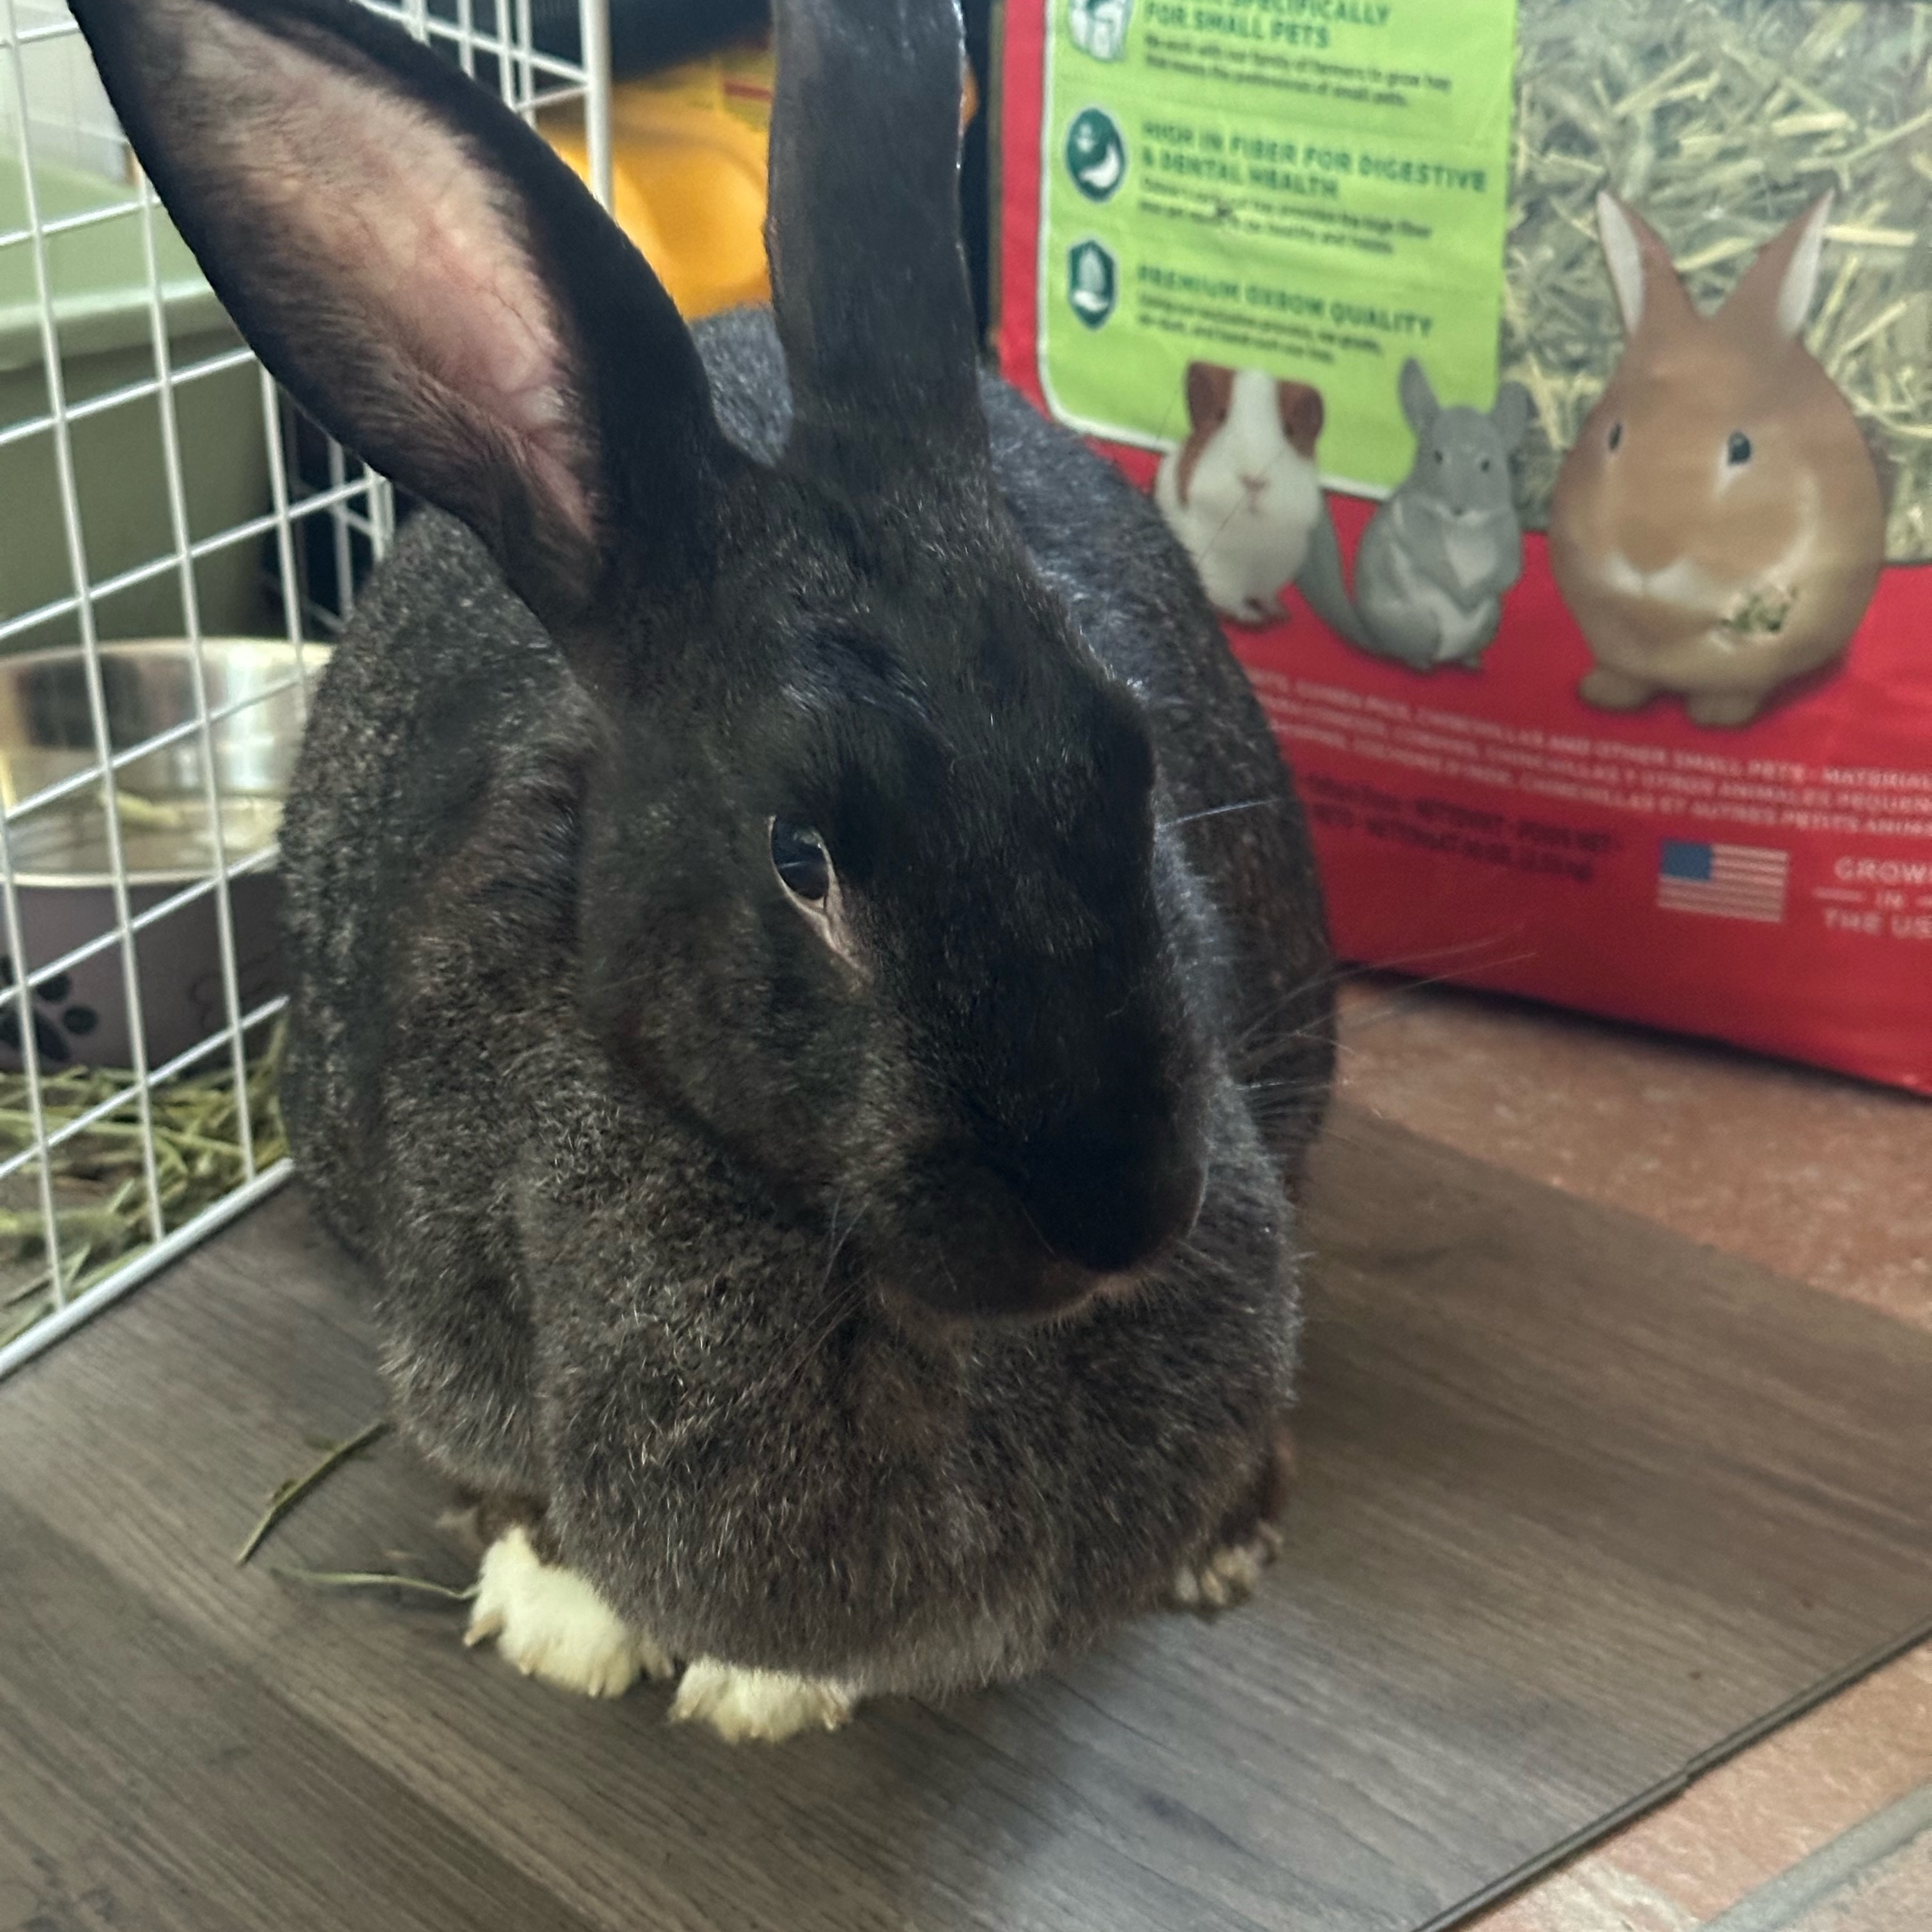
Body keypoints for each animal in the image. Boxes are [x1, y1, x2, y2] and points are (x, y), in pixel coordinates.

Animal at [1349, 358, 1531, 671]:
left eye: (1486, 464)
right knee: (1409, 651)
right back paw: (1421, 665)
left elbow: (1508, 571)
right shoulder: (1414, 522)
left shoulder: (1508, 532)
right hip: (1417, 626)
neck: (1463, 529)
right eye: (1437, 456)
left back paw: (1472, 663)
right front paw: (1462, 595)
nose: (1458, 509)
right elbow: (1432, 560)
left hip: (1489, 623)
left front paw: (1471, 597)